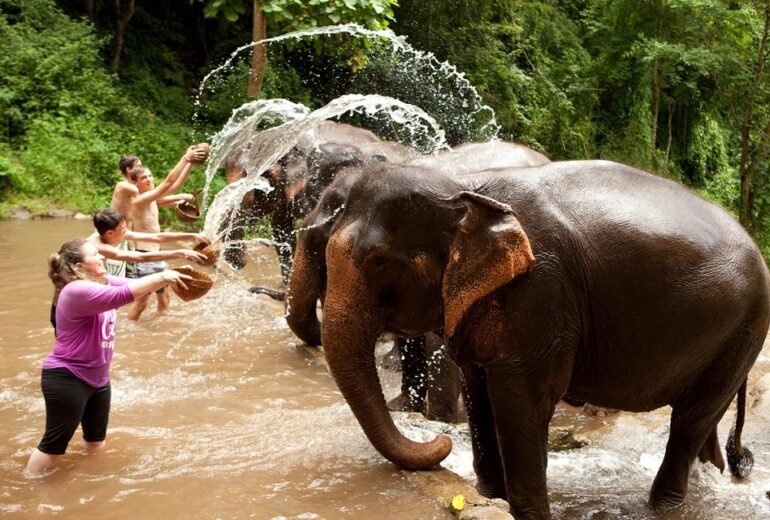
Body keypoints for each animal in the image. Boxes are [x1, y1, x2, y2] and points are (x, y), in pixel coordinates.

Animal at [289, 159, 769, 519]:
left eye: (380, 262)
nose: (440, 444)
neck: (465, 188)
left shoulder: (541, 292)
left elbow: (522, 400)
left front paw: (529, 512)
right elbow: (477, 389)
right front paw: (489, 495)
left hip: (746, 328)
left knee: (690, 419)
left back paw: (662, 507)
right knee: (702, 421)